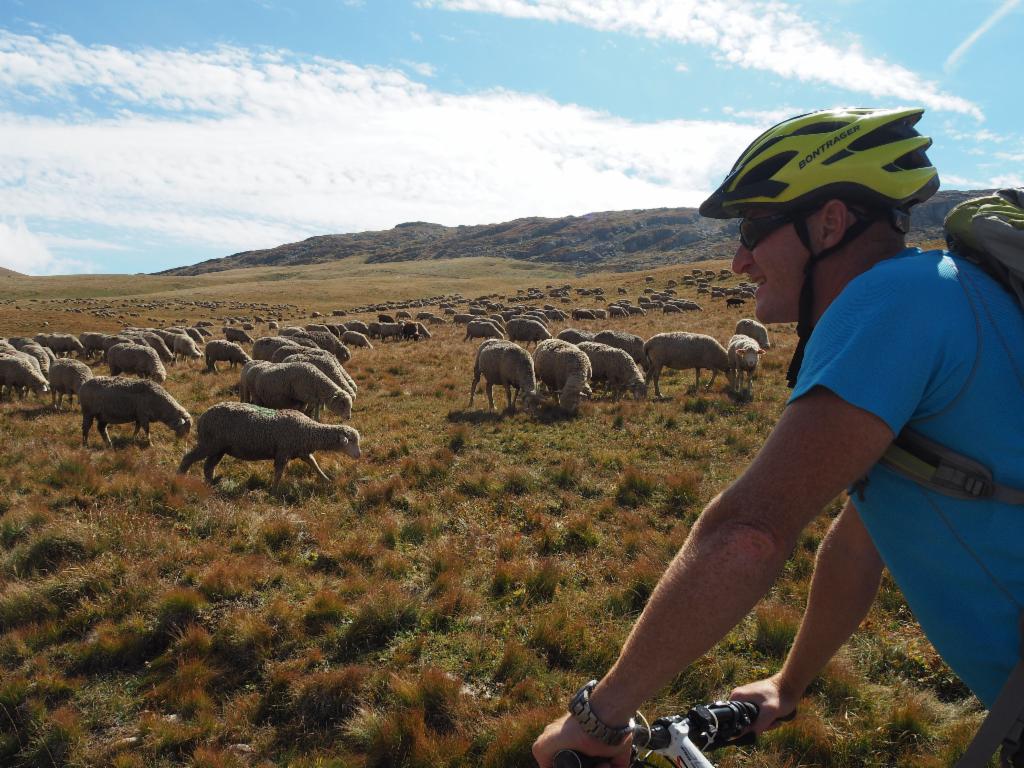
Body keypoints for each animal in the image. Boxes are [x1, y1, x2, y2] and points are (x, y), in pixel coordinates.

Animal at [178, 399, 362, 489]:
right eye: (352, 441)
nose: (359, 455)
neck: (307, 430)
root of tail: (203, 416)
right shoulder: (283, 452)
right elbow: (279, 473)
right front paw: (274, 491)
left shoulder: (301, 451)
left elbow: (314, 464)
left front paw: (326, 479)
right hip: (209, 443)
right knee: (188, 458)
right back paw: (180, 478)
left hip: (218, 448)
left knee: (208, 467)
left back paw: (211, 484)